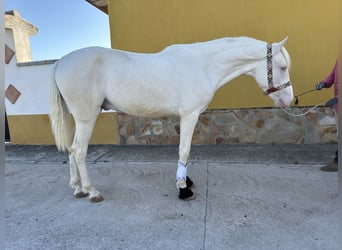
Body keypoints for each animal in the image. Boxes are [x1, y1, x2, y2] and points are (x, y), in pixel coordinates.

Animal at [49, 36, 292, 201]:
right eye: (282, 67)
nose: (290, 100)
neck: (203, 66)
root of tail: (61, 62)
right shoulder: (190, 115)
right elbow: (184, 150)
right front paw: (183, 187)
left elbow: (184, 150)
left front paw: (186, 180)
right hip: (86, 118)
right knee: (79, 150)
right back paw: (92, 191)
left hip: (76, 118)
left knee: (71, 149)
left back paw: (77, 187)